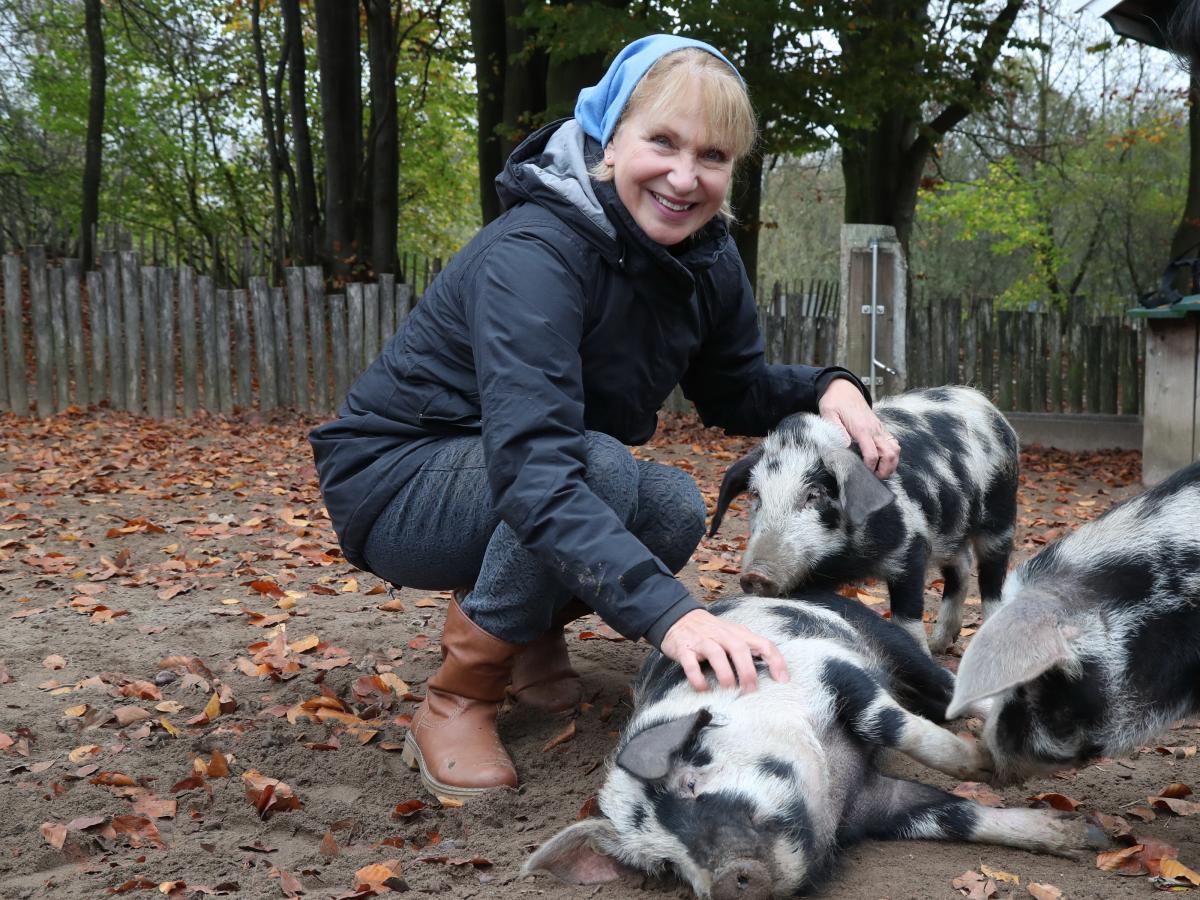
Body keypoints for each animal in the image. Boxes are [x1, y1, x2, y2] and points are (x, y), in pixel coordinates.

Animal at [525, 588, 1104, 897]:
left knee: (946, 687)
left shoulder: (831, 671)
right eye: (665, 865)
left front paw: (988, 765)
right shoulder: (877, 804)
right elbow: (956, 817)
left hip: (890, 639)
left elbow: (892, 726)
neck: (835, 791)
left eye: (691, 781)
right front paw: (1085, 837)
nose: (722, 881)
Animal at [710, 386, 1022, 657]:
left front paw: (920, 655)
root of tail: (982, 401)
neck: (847, 561)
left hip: (1000, 514)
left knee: (991, 579)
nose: (755, 575)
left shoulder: (912, 546)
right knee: (961, 566)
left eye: (814, 495)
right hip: (952, 528)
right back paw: (939, 644)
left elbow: (907, 617)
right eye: (755, 494)